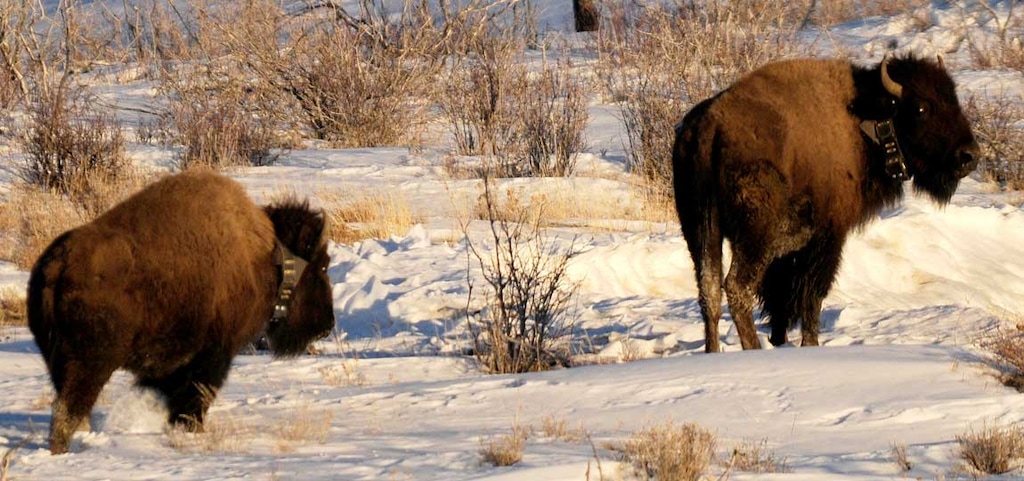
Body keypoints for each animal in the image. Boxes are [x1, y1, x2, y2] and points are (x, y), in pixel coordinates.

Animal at [27, 170, 335, 454]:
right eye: (322, 265)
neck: (270, 256)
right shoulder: (212, 357)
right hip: (91, 362)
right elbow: (195, 400)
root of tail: (58, 262)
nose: (328, 325)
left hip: (59, 360)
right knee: (68, 411)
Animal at [672, 54, 979, 353]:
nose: (969, 156)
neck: (863, 121)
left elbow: (781, 303)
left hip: (699, 228)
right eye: (921, 108)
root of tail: (711, 127)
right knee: (737, 287)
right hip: (753, 236)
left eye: (953, 100)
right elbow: (812, 296)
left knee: (709, 290)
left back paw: (713, 352)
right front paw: (810, 345)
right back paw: (752, 348)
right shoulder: (827, 237)